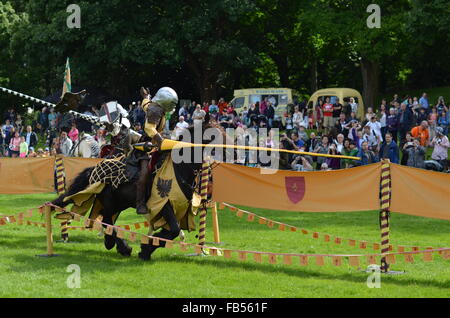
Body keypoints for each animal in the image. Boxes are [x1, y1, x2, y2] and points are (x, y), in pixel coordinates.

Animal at [52, 123, 227, 260]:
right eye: (216, 135)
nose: (228, 153)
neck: (180, 167)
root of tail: (94, 168)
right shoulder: (164, 204)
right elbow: (174, 229)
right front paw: (146, 248)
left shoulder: (177, 207)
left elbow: (171, 230)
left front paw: (147, 247)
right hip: (110, 202)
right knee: (108, 220)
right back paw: (120, 246)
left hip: (120, 203)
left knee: (108, 221)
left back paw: (116, 245)